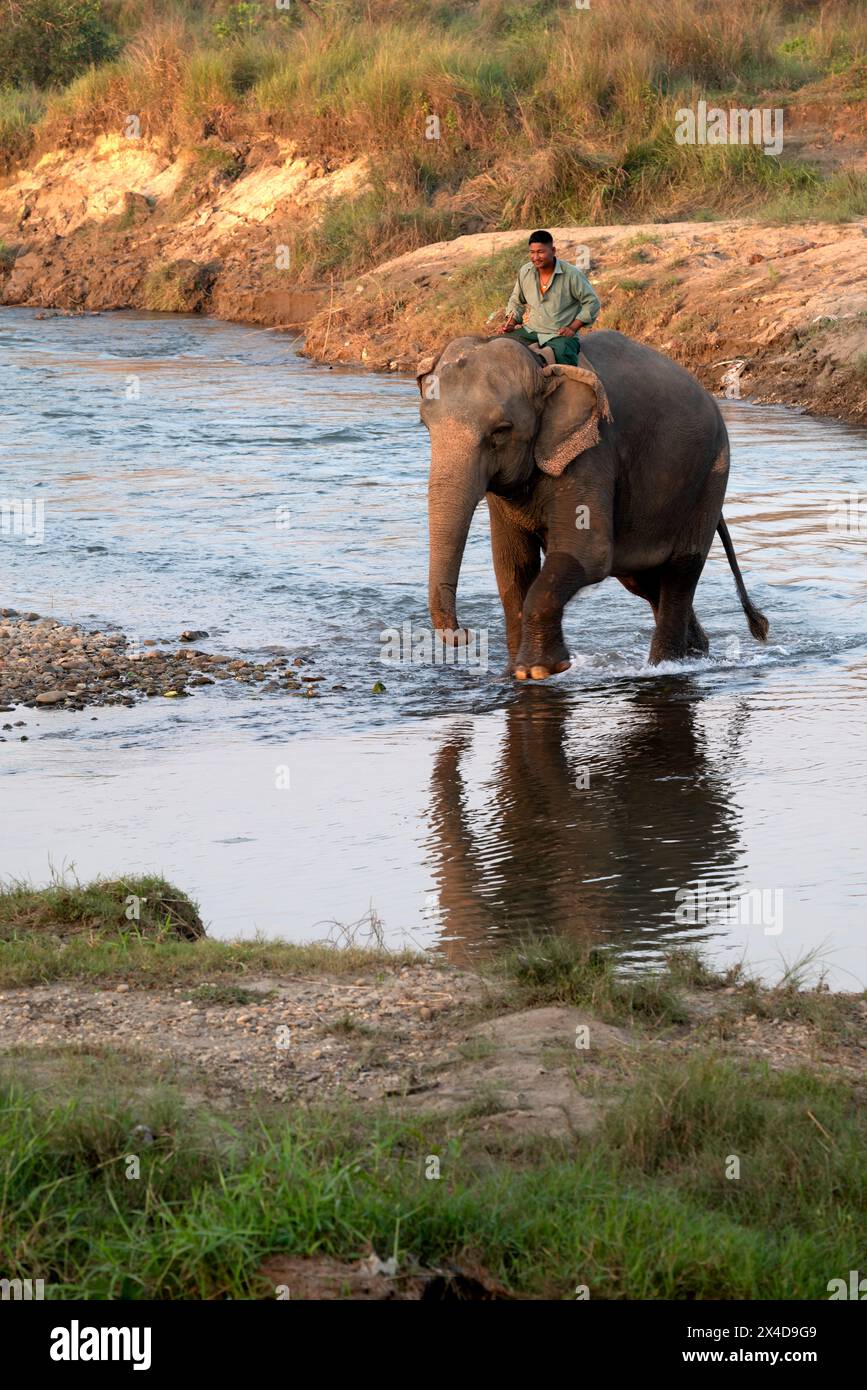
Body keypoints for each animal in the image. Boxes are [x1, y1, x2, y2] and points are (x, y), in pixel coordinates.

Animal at [416, 330, 766, 678]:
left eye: (501, 431)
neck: (540, 364)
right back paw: (696, 652)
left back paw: (666, 665)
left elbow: (588, 553)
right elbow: (511, 565)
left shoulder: (591, 452)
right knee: (644, 580)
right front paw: (515, 672)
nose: (465, 634)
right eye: (425, 425)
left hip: (711, 474)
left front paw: (540, 670)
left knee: (682, 571)